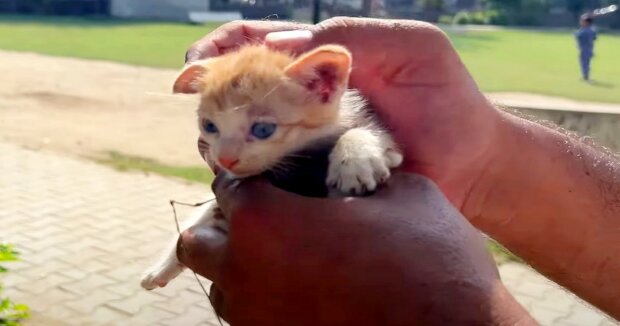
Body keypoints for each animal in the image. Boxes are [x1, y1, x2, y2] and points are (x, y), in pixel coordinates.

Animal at [140, 43, 402, 290]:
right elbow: (205, 212)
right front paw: (162, 267)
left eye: (263, 129)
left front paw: (355, 160)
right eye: (209, 125)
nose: (225, 159)